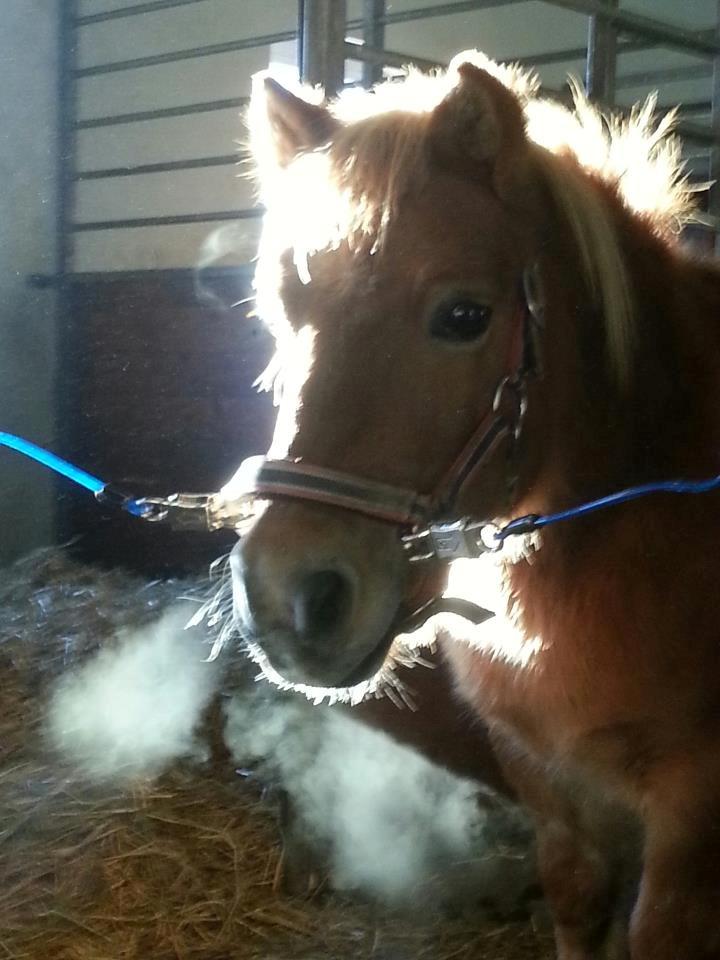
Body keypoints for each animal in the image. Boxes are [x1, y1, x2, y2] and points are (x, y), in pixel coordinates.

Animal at [225, 49, 720, 958]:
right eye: (279, 317)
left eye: (464, 316)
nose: (285, 598)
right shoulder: (545, 777)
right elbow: (575, 897)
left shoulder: (695, 811)